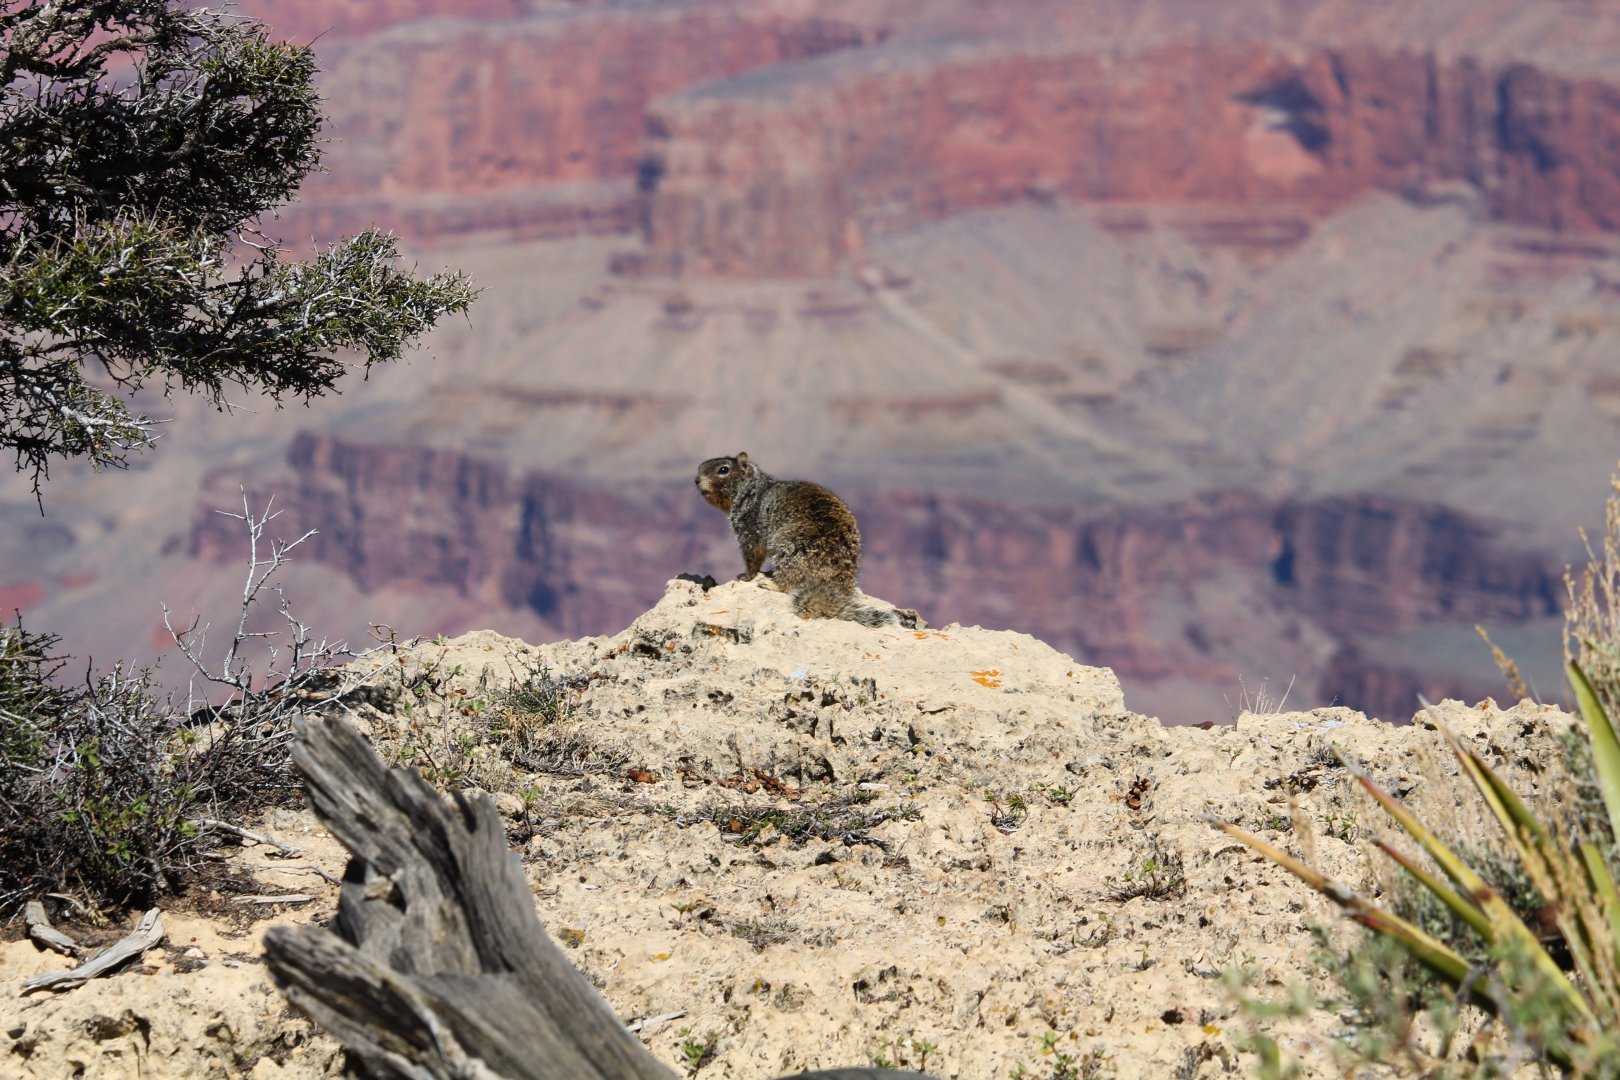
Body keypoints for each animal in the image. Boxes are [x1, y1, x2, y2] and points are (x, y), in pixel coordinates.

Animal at [695, 452, 897, 628]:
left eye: (723, 470)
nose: (696, 480)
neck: (751, 488)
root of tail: (836, 584)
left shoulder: (747, 524)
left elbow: (752, 554)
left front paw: (746, 576)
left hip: (789, 547)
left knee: (788, 583)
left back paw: (769, 583)